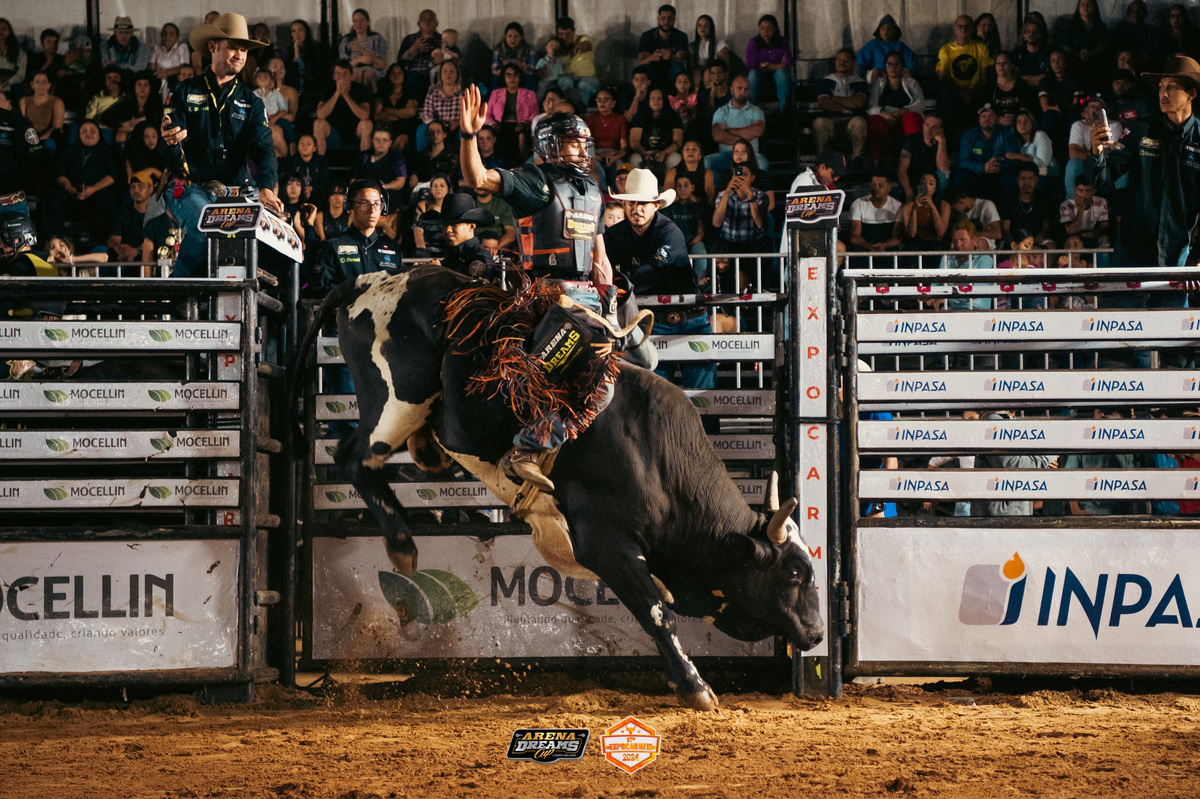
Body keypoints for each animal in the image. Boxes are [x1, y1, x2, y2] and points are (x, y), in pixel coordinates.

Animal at [295, 265, 824, 710]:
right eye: (795, 573)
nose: (817, 634)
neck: (659, 463)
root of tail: (372, 280)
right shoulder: (606, 543)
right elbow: (657, 612)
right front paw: (695, 687)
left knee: (366, 456)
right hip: (398, 400)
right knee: (354, 459)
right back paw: (403, 547)